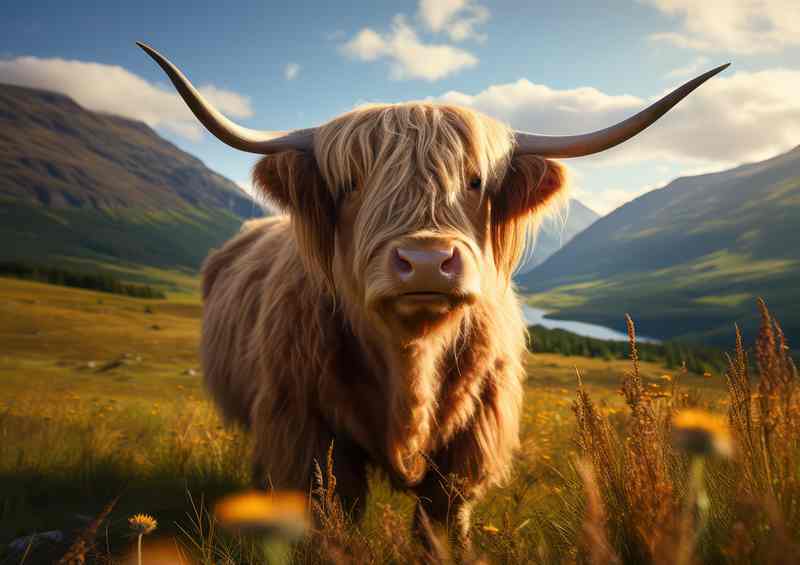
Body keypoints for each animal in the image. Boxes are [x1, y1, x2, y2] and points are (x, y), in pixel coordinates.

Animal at [139, 42, 726, 542]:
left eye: (475, 181)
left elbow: (441, 522)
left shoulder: (470, 443)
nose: (425, 262)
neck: (411, 361)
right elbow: (331, 513)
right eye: (353, 184)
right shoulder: (306, 430)